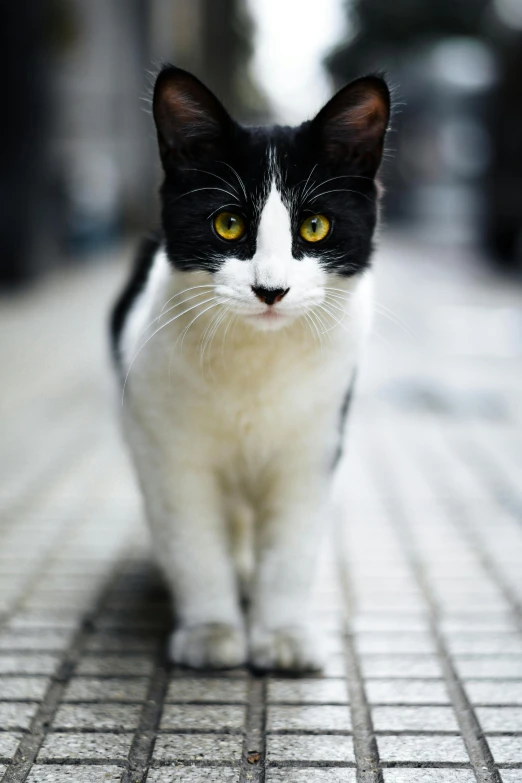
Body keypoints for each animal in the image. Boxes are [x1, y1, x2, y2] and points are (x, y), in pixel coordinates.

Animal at [110, 64, 386, 672]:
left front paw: (282, 634)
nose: (270, 289)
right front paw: (211, 631)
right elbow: (192, 543)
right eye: (230, 224)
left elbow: (291, 550)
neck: (255, 364)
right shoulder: (170, 452)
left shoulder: (312, 450)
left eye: (314, 227)